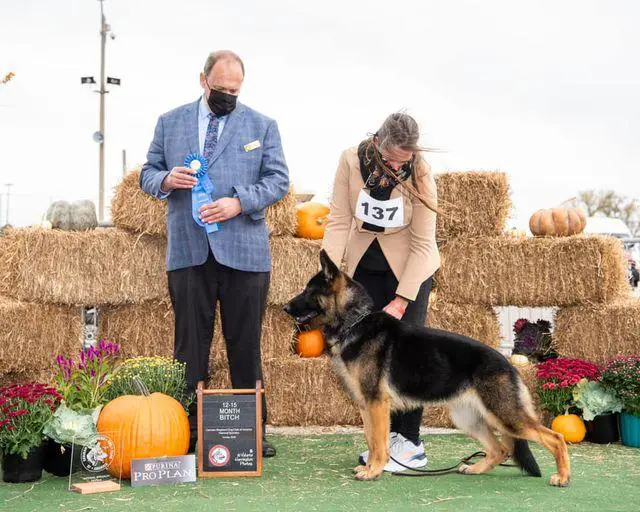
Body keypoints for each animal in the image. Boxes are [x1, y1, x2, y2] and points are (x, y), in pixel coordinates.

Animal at [284, 254, 568, 486]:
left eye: (309, 290)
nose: (285, 307)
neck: (355, 322)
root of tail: (508, 363)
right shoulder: (366, 406)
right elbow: (371, 439)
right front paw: (370, 467)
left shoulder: (377, 404)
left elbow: (379, 442)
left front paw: (374, 471)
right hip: (468, 417)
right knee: (500, 449)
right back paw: (475, 469)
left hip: (505, 416)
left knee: (556, 438)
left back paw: (562, 477)